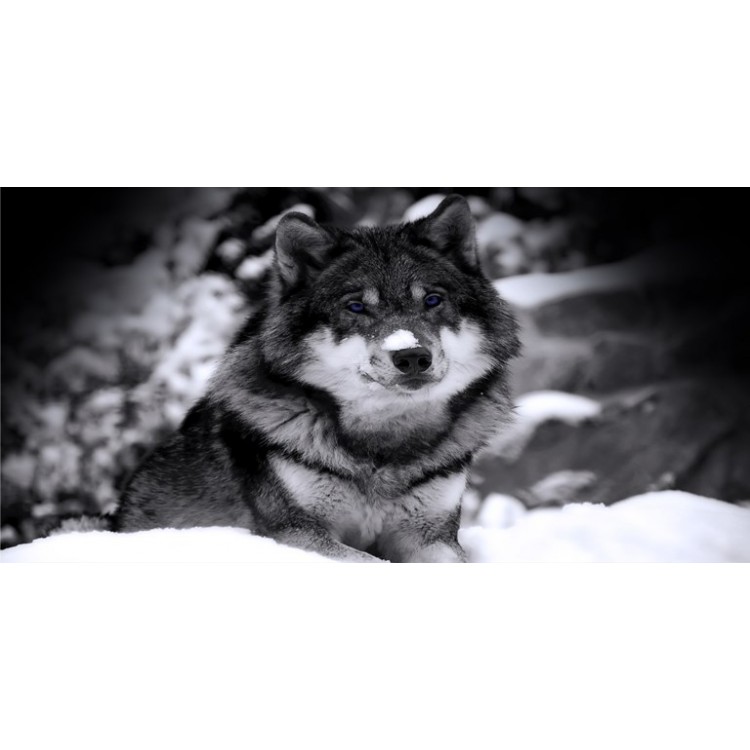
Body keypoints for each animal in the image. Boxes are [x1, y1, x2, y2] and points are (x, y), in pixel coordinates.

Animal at [114, 195, 520, 562]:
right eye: (356, 306)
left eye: (433, 300)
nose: (412, 356)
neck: (382, 447)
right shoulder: (295, 532)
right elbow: (370, 561)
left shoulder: (431, 536)